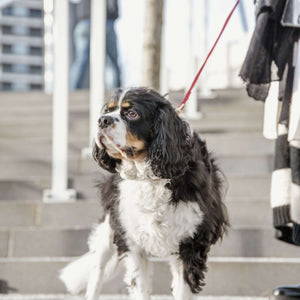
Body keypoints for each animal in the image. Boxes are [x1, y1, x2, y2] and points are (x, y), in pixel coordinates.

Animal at [59, 87, 229, 300]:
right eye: (108, 110)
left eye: (132, 114)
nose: (102, 120)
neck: (148, 176)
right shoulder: (132, 241)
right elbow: (139, 287)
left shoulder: (191, 243)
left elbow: (183, 288)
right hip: (109, 228)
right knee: (97, 270)